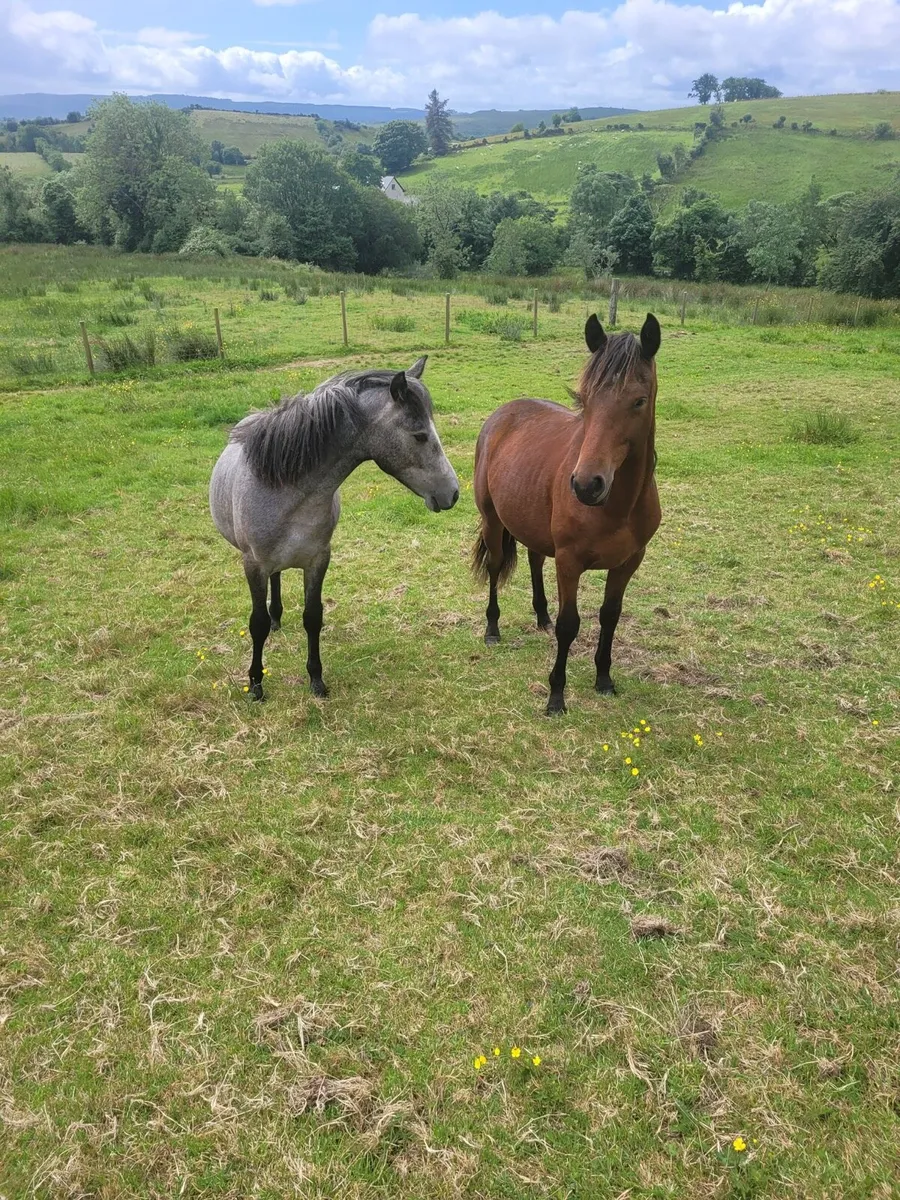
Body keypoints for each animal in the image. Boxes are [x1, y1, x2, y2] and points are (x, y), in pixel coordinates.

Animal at [210, 358, 459, 702]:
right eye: (419, 435)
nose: (453, 493)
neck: (286, 489)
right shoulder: (254, 564)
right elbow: (256, 624)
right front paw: (256, 684)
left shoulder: (318, 560)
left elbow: (312, 617)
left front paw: (316, 680)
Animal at [472, 313, 661, 716]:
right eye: (584, 400)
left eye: (639, 401)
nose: (587, 485)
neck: (617, 507)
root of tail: (502, 414)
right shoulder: (570, 561)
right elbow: (569, 624)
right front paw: (556, 696)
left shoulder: (628, 562)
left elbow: (610, 615)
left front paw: (604, 678)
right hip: (493, 521)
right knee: (495, 566)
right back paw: (492, 629)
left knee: (534, 560)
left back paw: (540, 616)